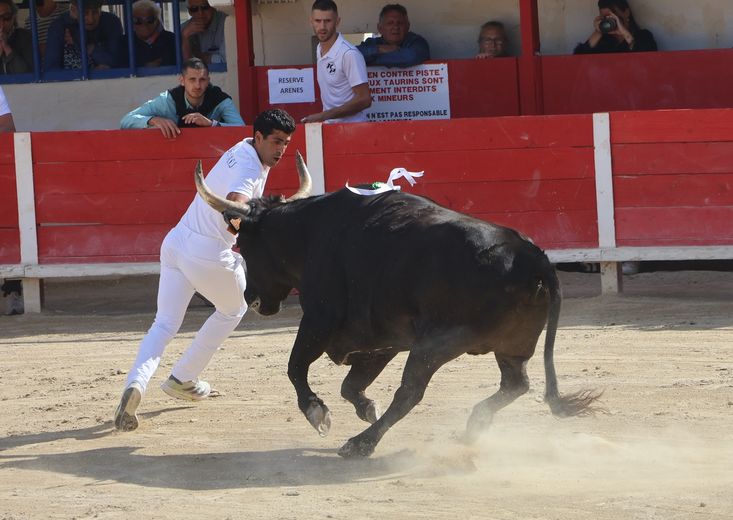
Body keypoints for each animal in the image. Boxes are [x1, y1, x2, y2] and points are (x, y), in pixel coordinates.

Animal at [194, 154, 600, 460]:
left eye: (244, 245)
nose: (253, 299)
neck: (310, 234)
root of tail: (531, 256)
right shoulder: (382, 341)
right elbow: (350, 384)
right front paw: (364, 407)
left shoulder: (319, 320)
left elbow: (295, 367)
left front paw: (317, 413)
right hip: (514, 345)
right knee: (515, 384)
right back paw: (474, 426)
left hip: (435, 345)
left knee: (410, 392)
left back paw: (361, 444)